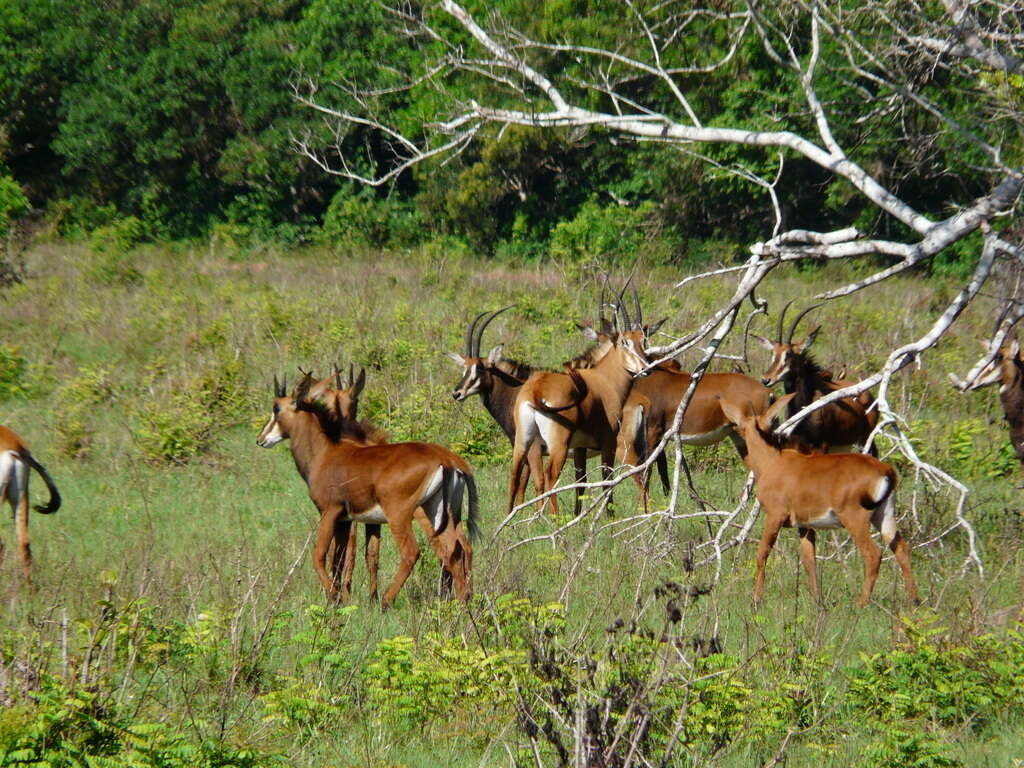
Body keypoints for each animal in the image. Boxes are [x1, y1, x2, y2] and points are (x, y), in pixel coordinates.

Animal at [256, 374, 479, 606]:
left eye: (276, 408)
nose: (261, 439)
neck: (325, 453)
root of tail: (447, 459)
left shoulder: (329, 512)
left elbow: (319, 556)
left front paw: (335, 596)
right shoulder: (345, 520)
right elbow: (339, 559)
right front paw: (341, 602)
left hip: (400, 515)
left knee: (412, 552)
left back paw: (386, 601)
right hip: (438, 511)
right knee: (455, 550)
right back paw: (462, 603)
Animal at [509, 294, 647, 518]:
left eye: (643, 340)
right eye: (625, 342)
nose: (645, 367)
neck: (605, 380)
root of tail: (536, 389)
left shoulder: (581, 447)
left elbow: (580, 483)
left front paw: (579, 516)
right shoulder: (608, 442)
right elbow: (606, 479)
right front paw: (608, 516)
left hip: (523, 441)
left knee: (514, 475)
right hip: (560, 446)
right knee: (550, 476)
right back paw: (556, 520)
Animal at [720, 397, 921, 606]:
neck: (771, 461)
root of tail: (886, 471)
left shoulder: (775, 516)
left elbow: (762, 554)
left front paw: (756, 600)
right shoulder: (805, 525)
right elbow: (809, 560)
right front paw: (817, 600)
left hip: (854, 518)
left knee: (873, 554)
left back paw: (861, 603)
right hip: (884, 515)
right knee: (902, 550)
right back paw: (913, 601)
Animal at [753, 301, 880, 454]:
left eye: (789, 354)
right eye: (773, 353)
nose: (766, 379)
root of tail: (870, 396)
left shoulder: (823, 446)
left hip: (865, 441)